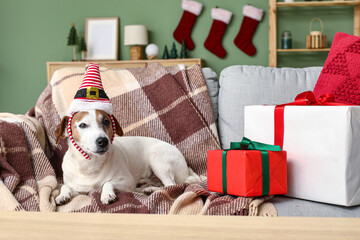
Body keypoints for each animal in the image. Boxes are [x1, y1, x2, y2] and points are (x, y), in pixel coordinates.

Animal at [54, 109, 200, 204]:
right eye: (82, 125)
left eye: (106, 122)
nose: (103, 141)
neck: (91, 165)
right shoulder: (79, 189)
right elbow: (65, 186)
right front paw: (62, 195)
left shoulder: (126, 181)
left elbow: (107, 182)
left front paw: (106, 194)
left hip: (157, 160)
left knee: (171, 185)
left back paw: (151, 190)